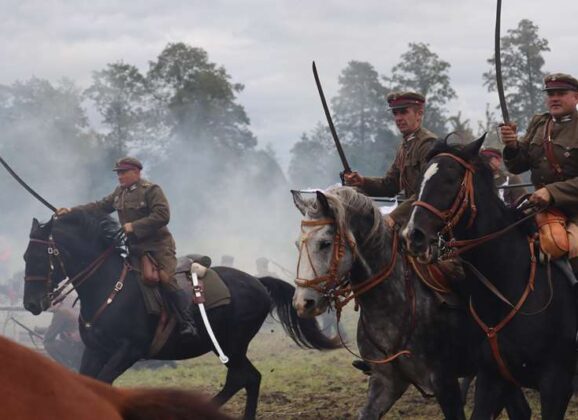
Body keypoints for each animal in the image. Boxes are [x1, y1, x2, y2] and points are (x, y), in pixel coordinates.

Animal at [22, 212, 338, 418]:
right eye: (26, 257)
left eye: (39, 257)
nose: (32, 304)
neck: (110, 288)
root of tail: (258, 282)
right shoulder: (95, 350)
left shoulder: (128, 351)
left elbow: (104, 384)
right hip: (228, 347)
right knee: (246, 379)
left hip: (232, 345)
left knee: (245, 378)